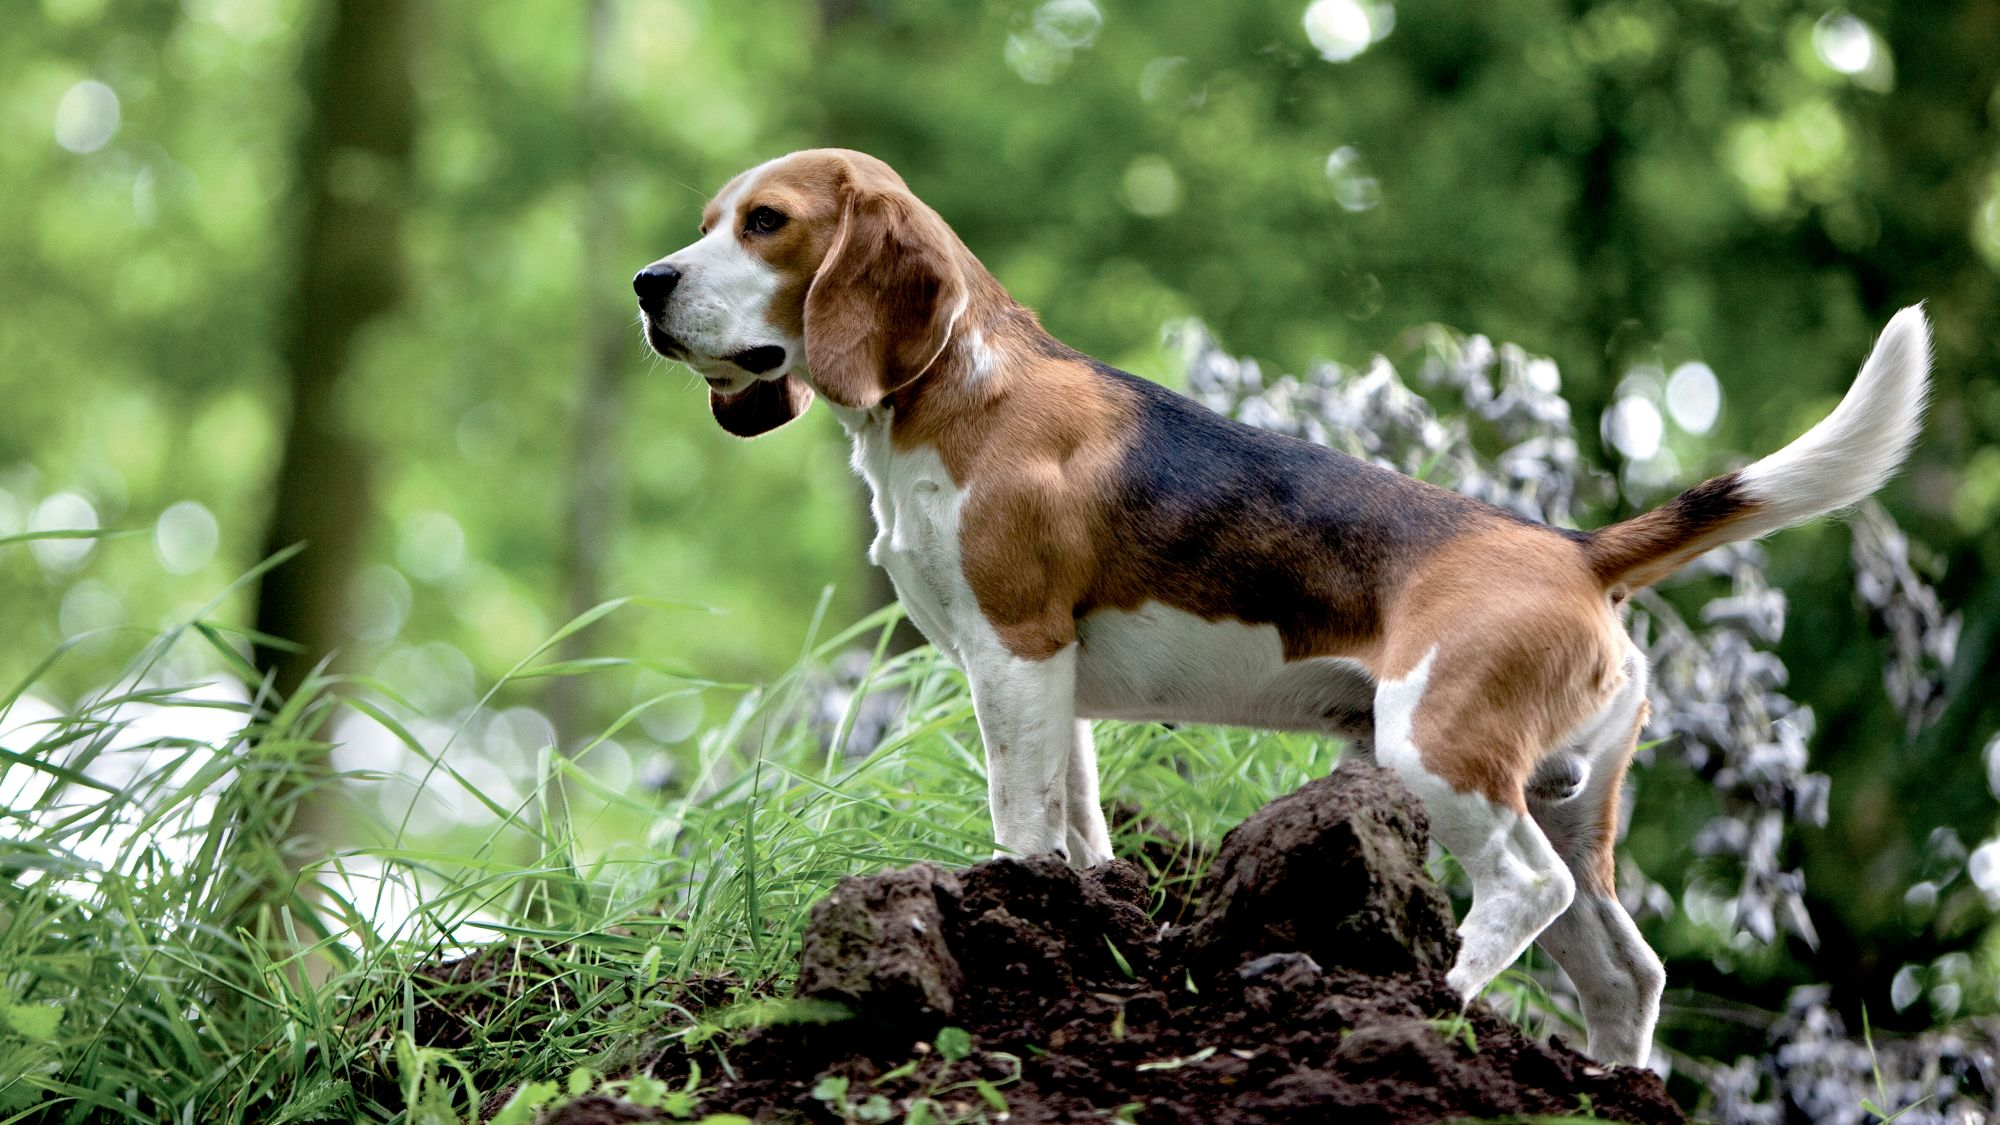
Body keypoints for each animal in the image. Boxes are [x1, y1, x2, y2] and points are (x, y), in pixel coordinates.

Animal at [632, 147, 1928, 1056]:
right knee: (1625, 971)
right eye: (704, 223)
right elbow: (1079, 826)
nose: (648, 284)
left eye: (764, 223)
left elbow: (1019, 821)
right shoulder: (1056, 685)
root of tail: (1573, 549)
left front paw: (1003, 908)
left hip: (1437, 752)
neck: (960, 379)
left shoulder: (1013, 654)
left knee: (1524, 891)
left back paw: (1423, 998)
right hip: (1567, 800)